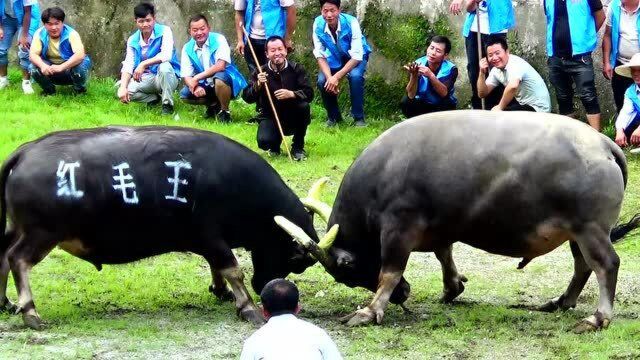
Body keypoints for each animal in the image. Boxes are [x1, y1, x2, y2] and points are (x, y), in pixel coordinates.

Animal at [0, 126, 330, 330]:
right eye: (296, 258)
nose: (264, 287)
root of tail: (27, 151)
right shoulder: (211, 237)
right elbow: (232, 268)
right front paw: (246, 306)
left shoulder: (210, 242)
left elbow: (217, 267)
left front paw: (220, 291)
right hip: (42, 234)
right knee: (18, 259)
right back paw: (30, 312)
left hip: (17, 229)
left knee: (2, 256)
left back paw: (5, 302)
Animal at [278, 110, 640, 334]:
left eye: (348, 268)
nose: (404, 295)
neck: (384, 171)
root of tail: (604, 144)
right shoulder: (441, 228)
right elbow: (444, 255)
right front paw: (452, 289)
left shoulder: (398, 227)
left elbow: (389, 272)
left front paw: (370, 310)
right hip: (577, 233)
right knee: (582, 267)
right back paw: (561, 302)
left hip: (590, 229)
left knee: (605, 264)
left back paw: (597, 318)